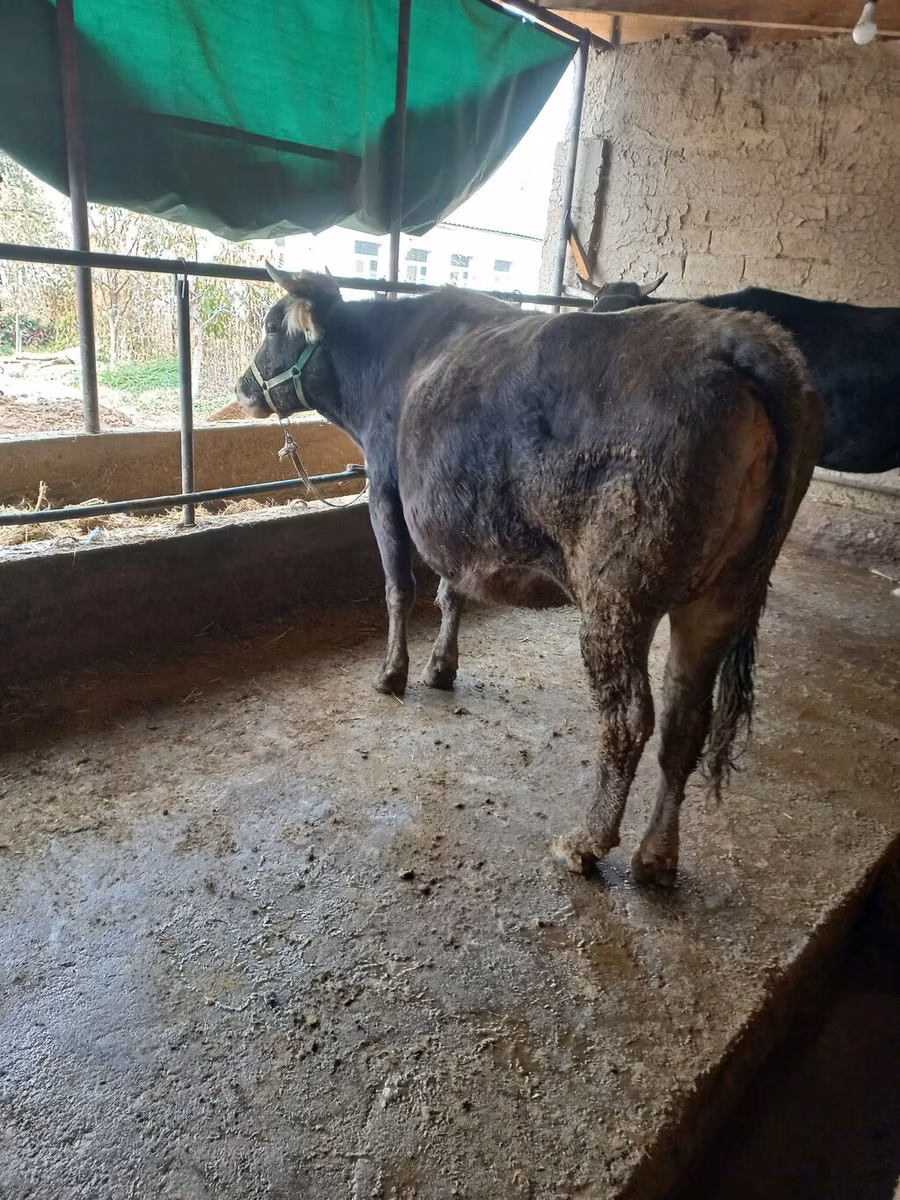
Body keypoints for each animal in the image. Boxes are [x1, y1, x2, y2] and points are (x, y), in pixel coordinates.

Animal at [236, 268, 822, 885]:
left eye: (271, 325)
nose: (244, 386)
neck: (383, 360)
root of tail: (740, 338)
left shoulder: (384, 489)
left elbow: (401, 589)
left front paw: (392, 674)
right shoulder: (460, 522)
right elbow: (451, 591)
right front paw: (441, 667)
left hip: (617, 594)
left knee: (628, 716)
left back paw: (587, 842)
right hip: (724, 594)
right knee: (685, 720)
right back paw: (656, 857)